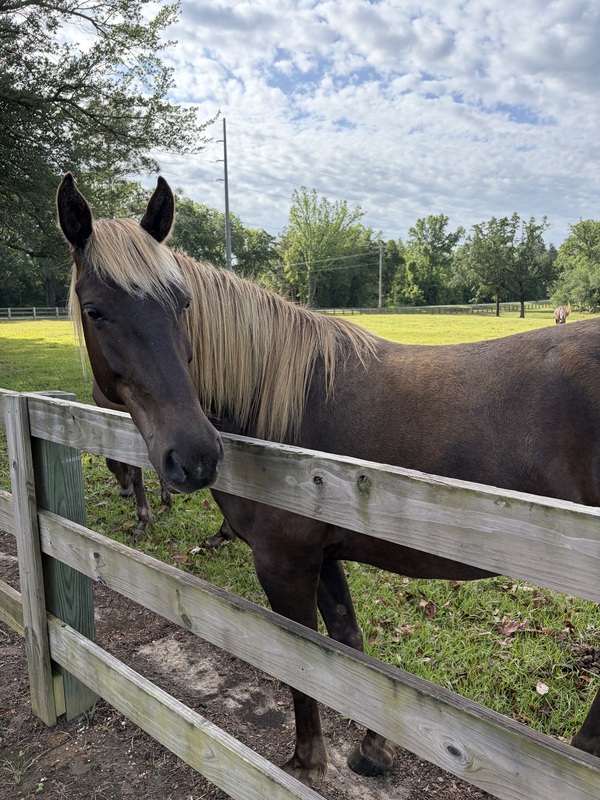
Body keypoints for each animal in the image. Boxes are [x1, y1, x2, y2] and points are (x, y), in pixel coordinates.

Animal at [56, 172, 600, 787]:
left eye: (183, 304)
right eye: (95, 310)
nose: (193, 457)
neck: (273, 410)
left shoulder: (282, 562)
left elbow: (304, 664)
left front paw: (307, 760)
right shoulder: (322, 555)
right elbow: (349, 649)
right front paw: (372, 749)